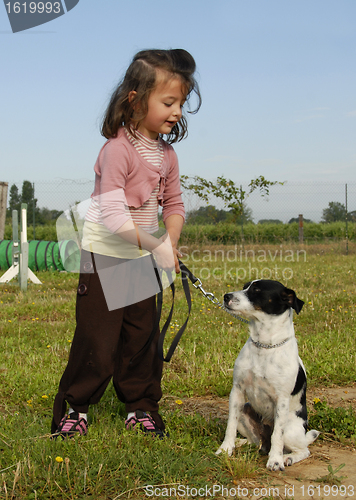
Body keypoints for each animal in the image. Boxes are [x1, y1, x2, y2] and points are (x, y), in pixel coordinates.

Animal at [216, 280, 318, 470]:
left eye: (257, 290)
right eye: (245, 286)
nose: (226, 296)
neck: (264, 345)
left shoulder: (282, 400)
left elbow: (277, 434)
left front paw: (275, 461)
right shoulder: (237, 392)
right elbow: (230, 425)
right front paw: (226, 449)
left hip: (291, 429)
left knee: (303, 450)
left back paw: (287, 457)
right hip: (245, 411)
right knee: (255, 441)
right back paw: (241, 443)